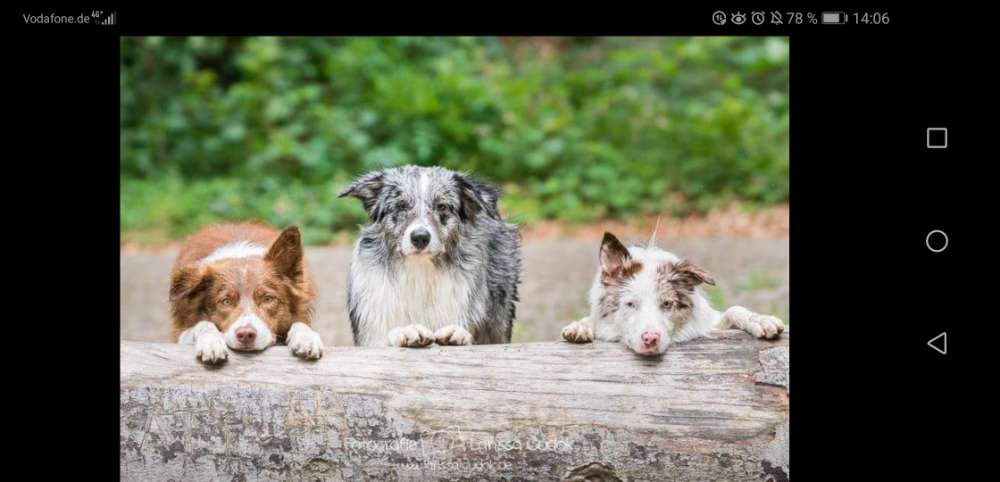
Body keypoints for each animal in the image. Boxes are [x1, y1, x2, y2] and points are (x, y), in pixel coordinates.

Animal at [169, 221, 324, 362]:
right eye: (226, 301)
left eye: (268, 299)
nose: (246, 335)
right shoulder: (180, 333)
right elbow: (203, 324)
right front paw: (211, 342)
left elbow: (300, 323)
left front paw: (307, 338)